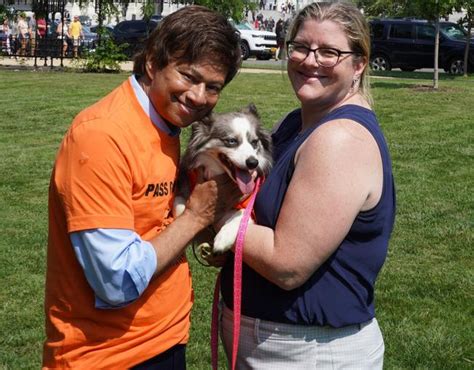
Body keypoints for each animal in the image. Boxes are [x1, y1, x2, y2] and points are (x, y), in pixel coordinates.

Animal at [174, 104, 272, 254]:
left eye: (254, 142)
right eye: (231, 141)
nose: (253, 162)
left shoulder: (251, 209)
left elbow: (241, 214)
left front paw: (223, 239)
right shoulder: (184, 185)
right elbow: (179, 204)